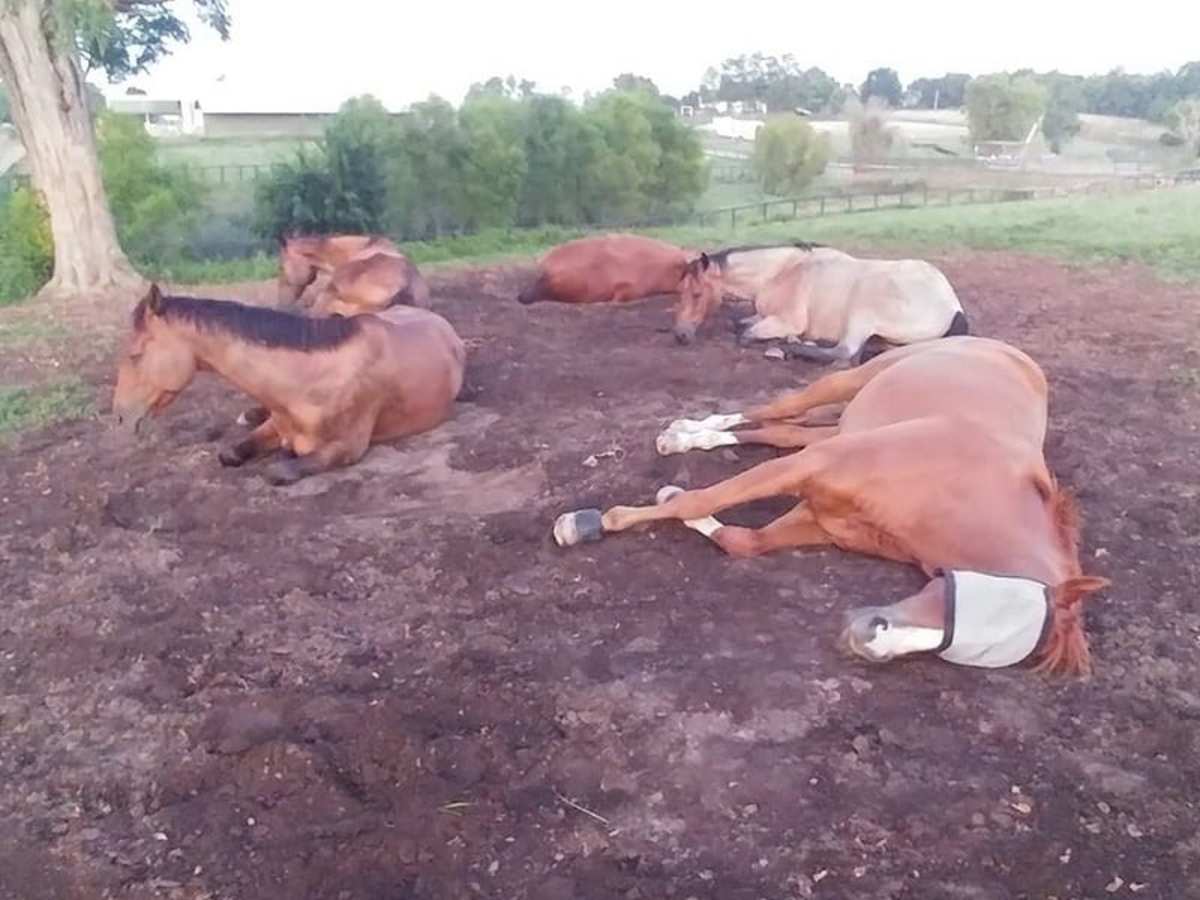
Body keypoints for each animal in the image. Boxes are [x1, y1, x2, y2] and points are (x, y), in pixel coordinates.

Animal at [113, 284, 464, 485]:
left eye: (135, 354)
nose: (120, 417)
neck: (311, 380)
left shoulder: (347, 448)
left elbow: (280, 470)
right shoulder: (275, 424)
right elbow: (232, 453)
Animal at [553, 336, 1108, 675]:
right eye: (985, 612)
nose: (866, 640)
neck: (952, 487)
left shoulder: (819, 516)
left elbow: (741, 540)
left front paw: (676, 502)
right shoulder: (815, 468)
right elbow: (710, 495)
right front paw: (591, 522)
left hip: (838, 428)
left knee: (782, 430)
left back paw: (694, 438)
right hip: (847, 384)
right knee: (776, 410)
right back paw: (687, 432)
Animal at [672, 241, 968, 360]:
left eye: (696, 294)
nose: (680, 336)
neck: (779, 273)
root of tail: (953, 306)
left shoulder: (787, 321)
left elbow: (745, 334)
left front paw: (784, 342)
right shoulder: (765, 314)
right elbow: (740, 323)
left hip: (863, 306)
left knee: (844, 353)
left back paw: (790, 349)